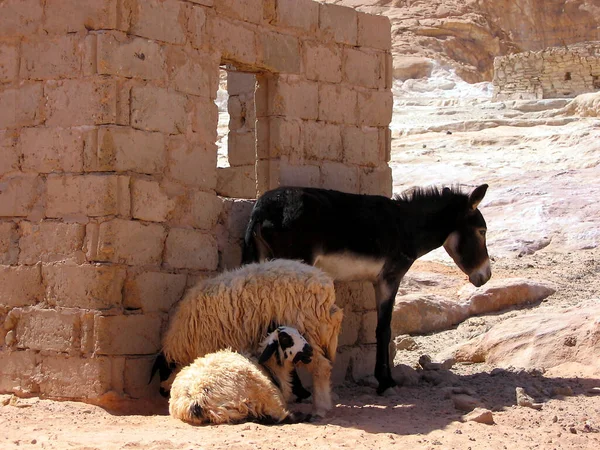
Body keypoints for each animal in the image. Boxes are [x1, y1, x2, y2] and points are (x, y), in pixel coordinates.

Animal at [166, 326, 312, 426]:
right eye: (286, 339)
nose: (310, 350)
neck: (272, 369)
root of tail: (195, 400)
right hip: (260, 390)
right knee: (280, 415)